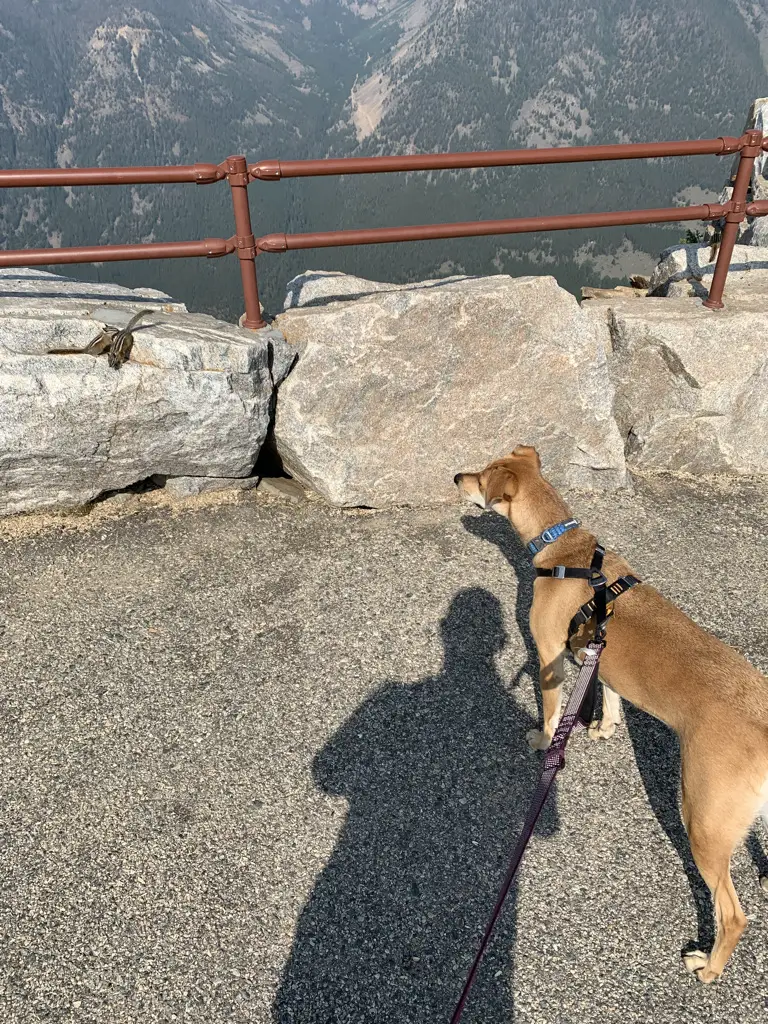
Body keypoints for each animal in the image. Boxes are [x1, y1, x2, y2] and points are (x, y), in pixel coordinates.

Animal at [456, 446, 768, 983]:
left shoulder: (550, 654)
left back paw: (708, 966)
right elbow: (610, 692)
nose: (457, 477)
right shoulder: (594, 650)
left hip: (704, 821)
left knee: (732, 913)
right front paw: (603, 727)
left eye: (481, 475)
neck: (566, 552)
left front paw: (544, 741)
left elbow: (552, 712)